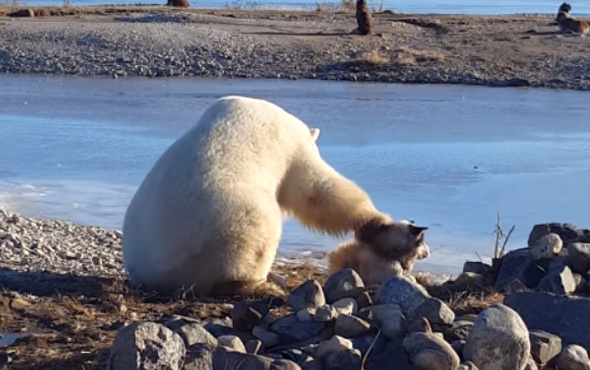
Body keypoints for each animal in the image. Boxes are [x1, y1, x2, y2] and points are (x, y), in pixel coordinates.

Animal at [122, 96, 426, 298]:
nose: (422, 252)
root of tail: (154, 274)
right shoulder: (291, 147)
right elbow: (318, 191)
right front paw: (386, 228)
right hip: (228, 222)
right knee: (256, 235)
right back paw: (267, 284)